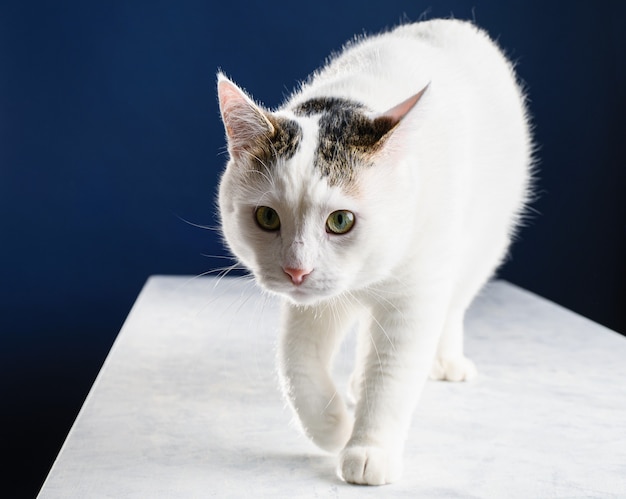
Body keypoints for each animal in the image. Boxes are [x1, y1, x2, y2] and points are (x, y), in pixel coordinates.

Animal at [216, 18, 532, 484]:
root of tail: (455, 23)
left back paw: (446, 360)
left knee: (453, 304)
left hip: (483, 240)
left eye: (341, 221)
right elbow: (296, 364)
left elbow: (391, 376)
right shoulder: (315, 303)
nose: (296, 271)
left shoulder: (414, 298)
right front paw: (332, 427)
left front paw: (369, 448)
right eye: (267, 217)